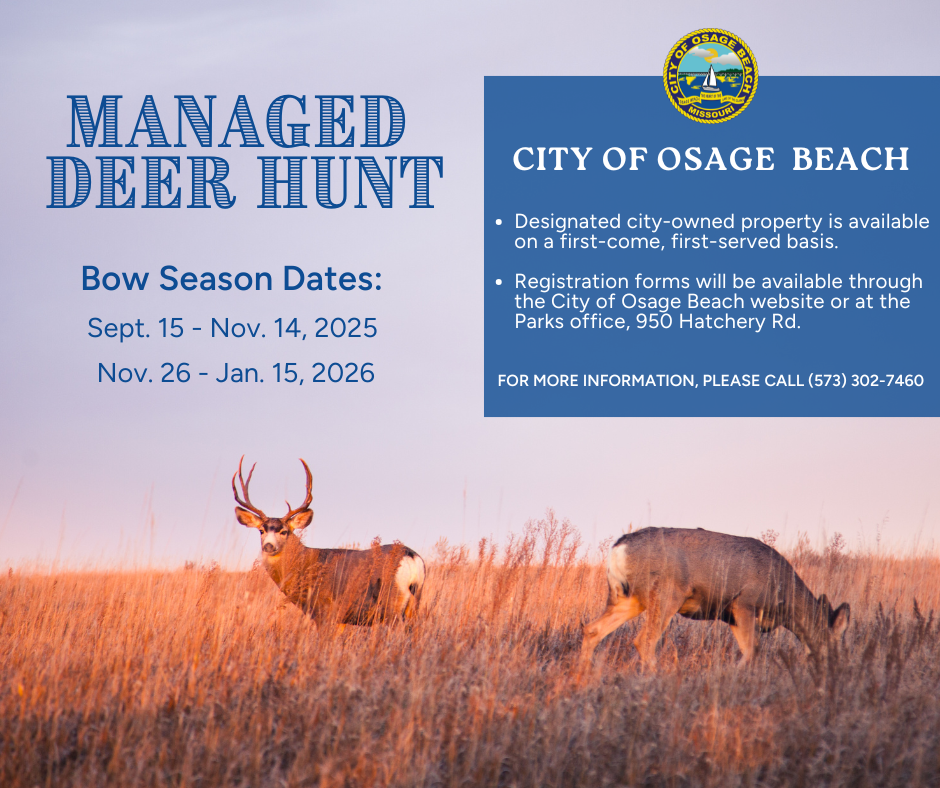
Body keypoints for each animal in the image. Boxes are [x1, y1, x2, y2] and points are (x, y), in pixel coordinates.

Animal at [233, 457, 425, 627]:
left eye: (284, 531)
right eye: (261, 530)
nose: (269, 546)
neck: (305, 565)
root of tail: (411, 556)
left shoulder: (325, 611)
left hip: (392, 603)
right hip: (414, 604)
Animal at [581, 527, 850, 669]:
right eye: (835, 647)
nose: (838, 671)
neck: (784, 596)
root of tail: (618, 549)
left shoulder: (731, 616)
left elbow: (748, 649)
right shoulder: (744, 602)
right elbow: (753, 649)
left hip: (627, 598)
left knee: (592, 629)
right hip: (667, 594)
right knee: (644, 640)